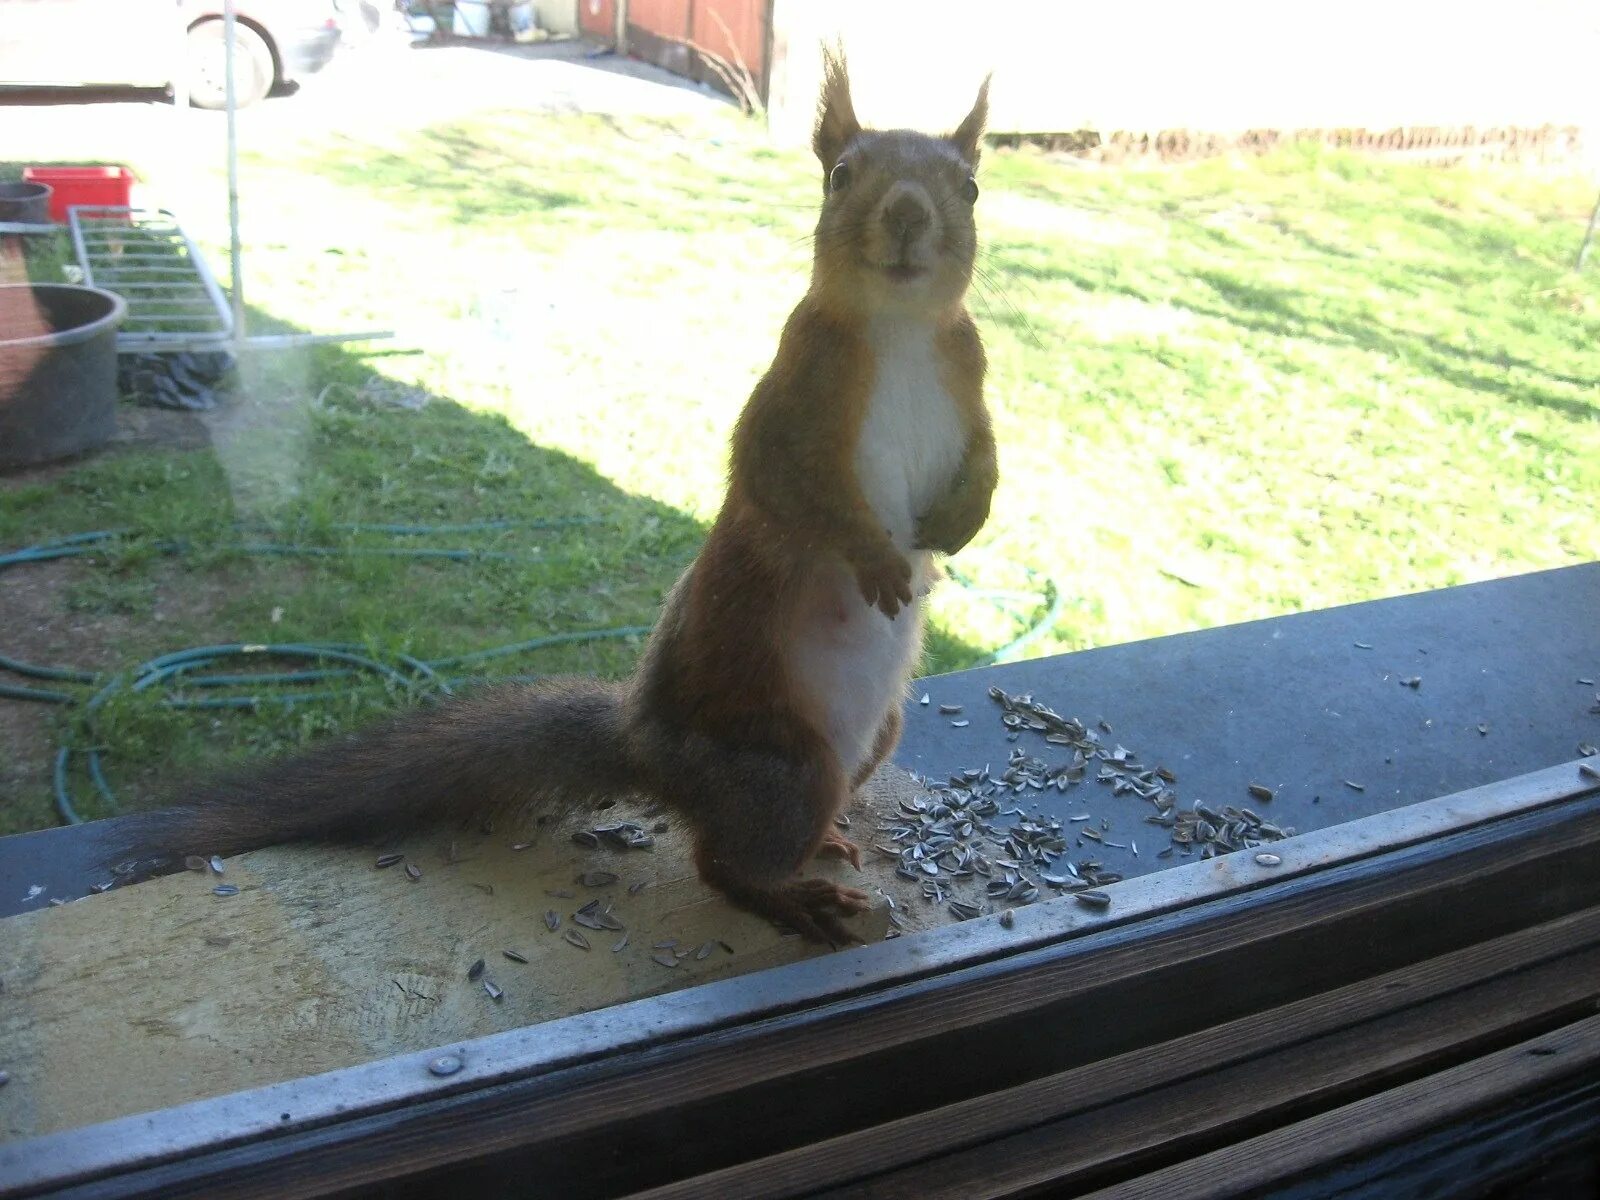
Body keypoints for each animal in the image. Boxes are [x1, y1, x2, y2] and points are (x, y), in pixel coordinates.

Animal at [124, 51, 992, 947]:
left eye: (970, 187)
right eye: (841, 175)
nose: (906, 213)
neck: (900, 330)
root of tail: (645, 750)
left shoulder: (968, 372)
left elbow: (987, 455)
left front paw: (964, 519)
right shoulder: (793, 396)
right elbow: (793, 488)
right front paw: (878, 560)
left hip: (875, 738)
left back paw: (822, 848)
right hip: (786, 767)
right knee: (718, 863)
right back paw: (792, 896)